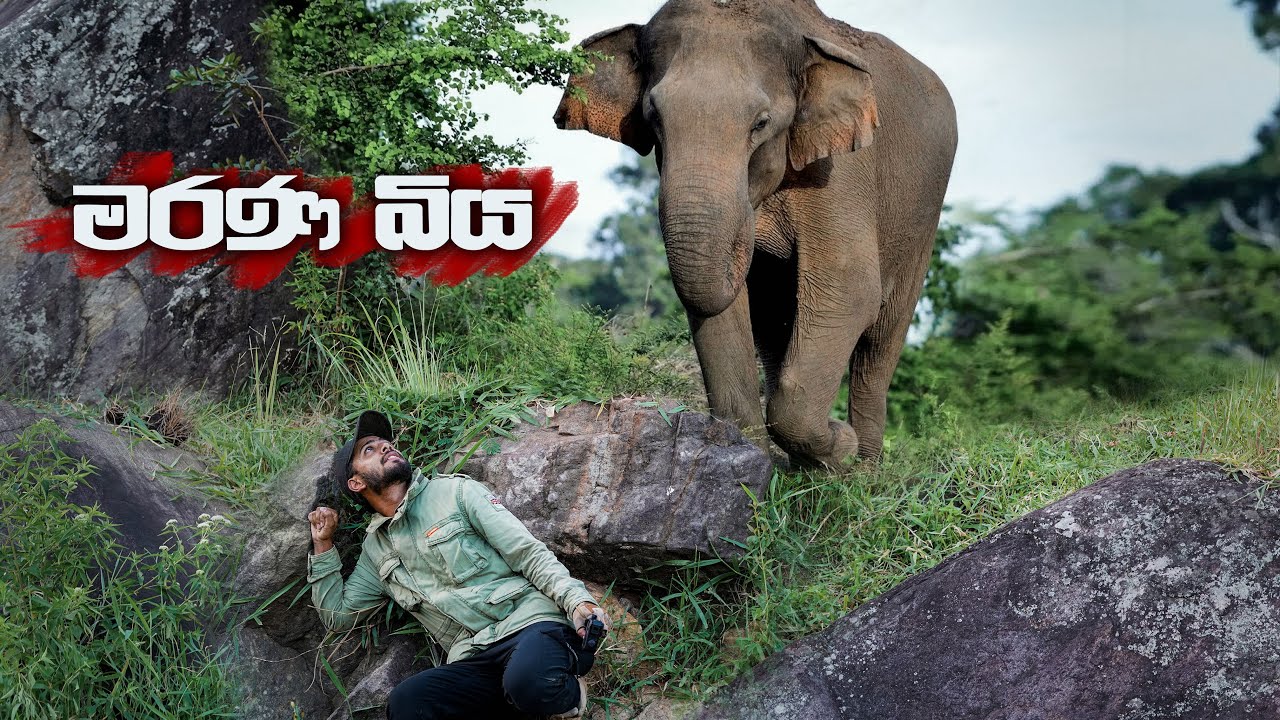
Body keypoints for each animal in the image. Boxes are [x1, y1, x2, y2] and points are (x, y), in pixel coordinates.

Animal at [553, 0, 957, 467]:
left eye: (761, 123)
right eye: (653, 118)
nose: (750, 237)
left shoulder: (842, 174)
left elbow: (849, 288)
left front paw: (841, 449)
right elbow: (723, 303)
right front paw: (749, 465)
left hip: (922, 219)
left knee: (879, 343)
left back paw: (864, 471)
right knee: (775, 322)